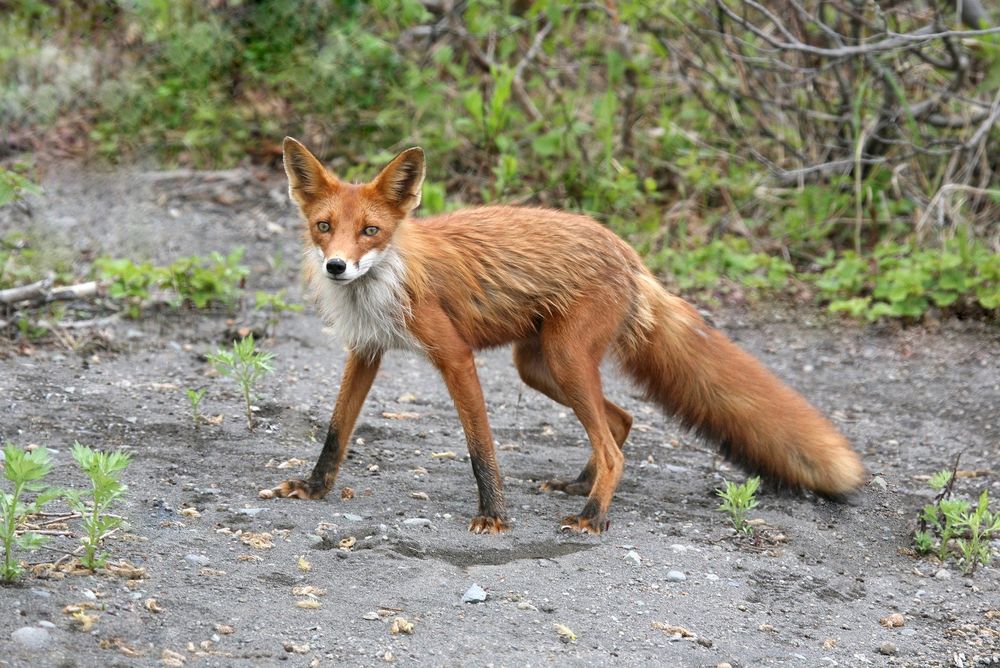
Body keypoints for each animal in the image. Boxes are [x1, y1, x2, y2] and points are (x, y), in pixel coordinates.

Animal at [260, 137, 866, 534]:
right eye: (323, 227)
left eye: (371, 231)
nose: (337, 266)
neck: (387, 279)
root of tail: (627, 253)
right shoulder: (365, 350)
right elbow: (336, 432)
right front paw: (314, 488)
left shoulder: (454, 356)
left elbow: (481, 447)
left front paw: (493, 516)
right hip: (540, 366)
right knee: (621, 421)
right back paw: (581, 486)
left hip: (566, 358)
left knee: (613, 444)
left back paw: (593, 515)